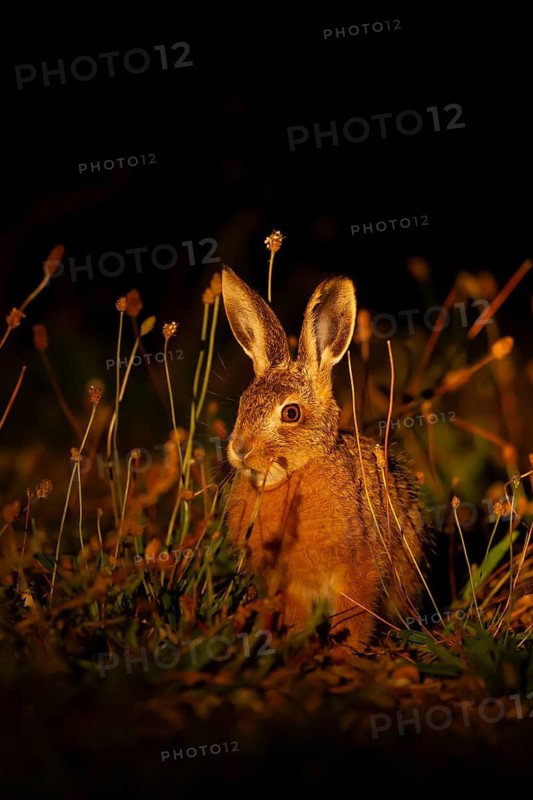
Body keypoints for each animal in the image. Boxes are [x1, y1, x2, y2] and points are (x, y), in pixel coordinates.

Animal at [221, 266, 428, 655]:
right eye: (243, 404)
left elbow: (354, 618)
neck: (296, 474)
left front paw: (343, 655)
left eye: (290, 413)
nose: (240, 449)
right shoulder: (289, 584)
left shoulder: (358, 571)